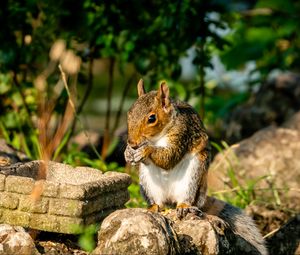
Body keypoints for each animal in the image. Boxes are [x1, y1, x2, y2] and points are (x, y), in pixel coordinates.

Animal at [124, 78, 268, 254]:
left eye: (152, 118)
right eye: (129, 113)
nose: (132, 143)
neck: (158, 136)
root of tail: (171, 200)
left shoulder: (182, 133)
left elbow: (169, 157)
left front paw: (145, 150)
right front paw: (128, 152)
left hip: (192, 177)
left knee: (186, 199)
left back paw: (184, 207)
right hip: (148, 183)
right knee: (158, 202)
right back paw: (153, 208)